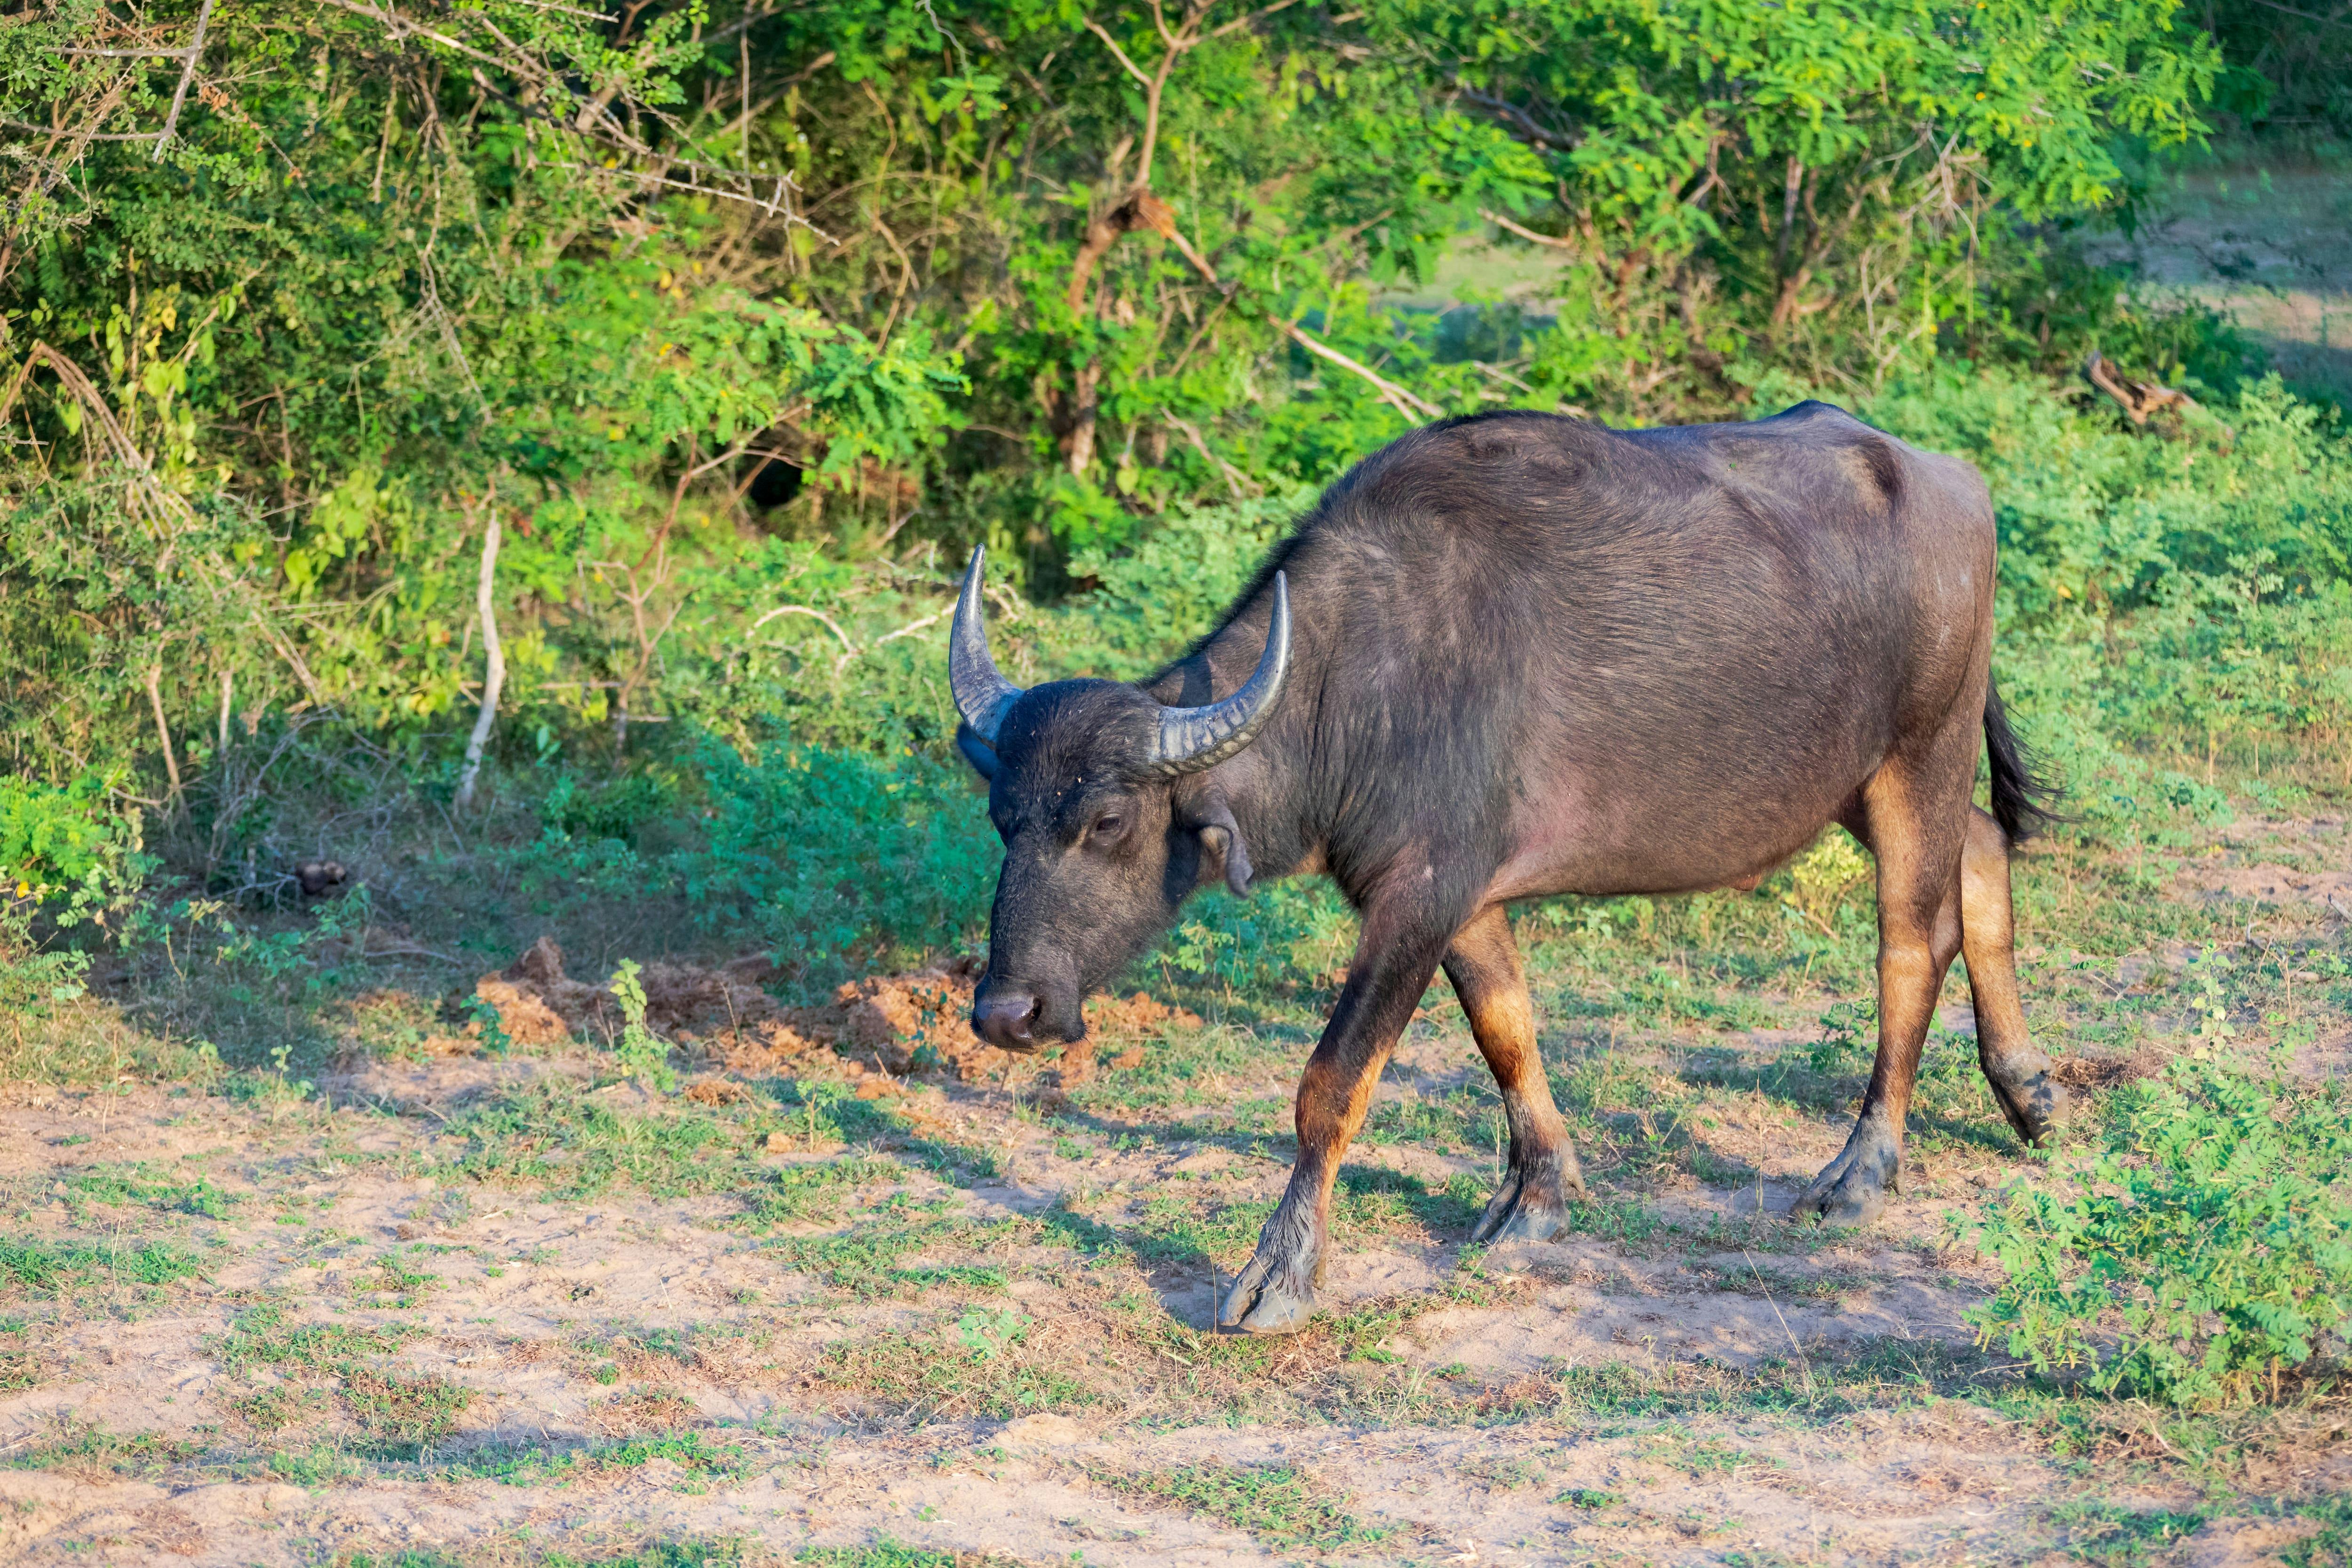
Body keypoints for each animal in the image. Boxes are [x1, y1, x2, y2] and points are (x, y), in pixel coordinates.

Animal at [941, 404, 2060, 1335]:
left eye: (1108, 820)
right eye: (1003, 815)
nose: (1007, 1011)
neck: (1357, 683)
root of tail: (1948, 477)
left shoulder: (1418, 894)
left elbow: (1330, 1082)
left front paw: (1279, 1275)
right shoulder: (1465, 900)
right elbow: (1505, 1028)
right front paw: (1539, 1196)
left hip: (1920, 749)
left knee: (1910, 941)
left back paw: (1862, 1167)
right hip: (1856, 781)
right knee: (1983, 846)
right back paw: (2026, 1089)